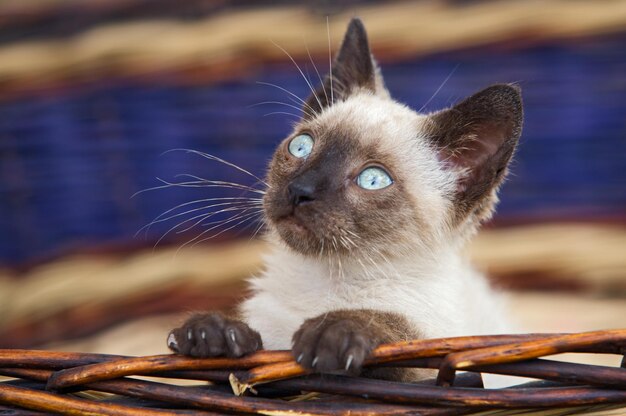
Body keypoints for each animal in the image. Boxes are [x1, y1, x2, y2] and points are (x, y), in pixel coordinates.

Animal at [166, 17, 520, 382]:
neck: (325, 280)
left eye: (373, 180)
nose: (300, 191)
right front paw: (214, 332)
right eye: (301, 146)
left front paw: (331, 332)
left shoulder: (440, 354)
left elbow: (406, 337)